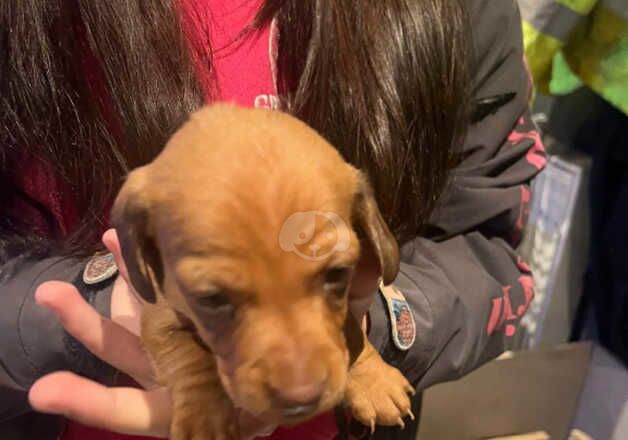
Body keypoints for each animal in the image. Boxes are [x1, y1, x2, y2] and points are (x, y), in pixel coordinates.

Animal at [111, 105, 418, 438]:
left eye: (338, 274)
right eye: (211, 299)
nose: (301, 400)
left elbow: (349, 328)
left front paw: (373, 381)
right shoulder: (159, 312)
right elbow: (187, 356)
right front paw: (205, 418)